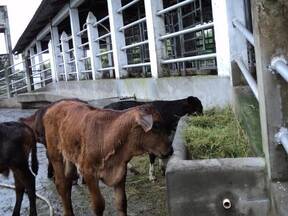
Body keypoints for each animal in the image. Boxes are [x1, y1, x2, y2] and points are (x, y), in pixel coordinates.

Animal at [42, 100, 172, 215]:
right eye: (156, 126)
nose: (170, 150)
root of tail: (54, 106)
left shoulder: (120, 171)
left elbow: (121, 203)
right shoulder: (88, 173)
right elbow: (98, 205)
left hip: (70, 156)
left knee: (68, 181)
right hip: (55, 154)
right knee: (61, 184)